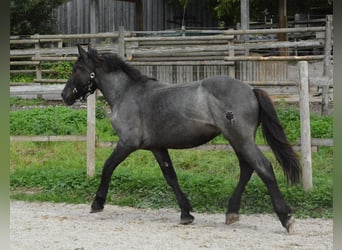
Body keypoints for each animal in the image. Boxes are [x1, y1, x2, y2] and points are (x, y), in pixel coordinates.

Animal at [60, 44, 300, 232]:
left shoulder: (127, 143)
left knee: (263, 167)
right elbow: (171, 176)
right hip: (237, 140)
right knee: (247, 169)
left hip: (240, 139)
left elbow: (108, 167)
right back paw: (232, 212)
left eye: (77, 69)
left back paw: (286, 217)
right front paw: (186, 213)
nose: (65, 95)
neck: (127, 93)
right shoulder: (158, 148)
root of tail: (250, 90)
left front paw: (97, 203)